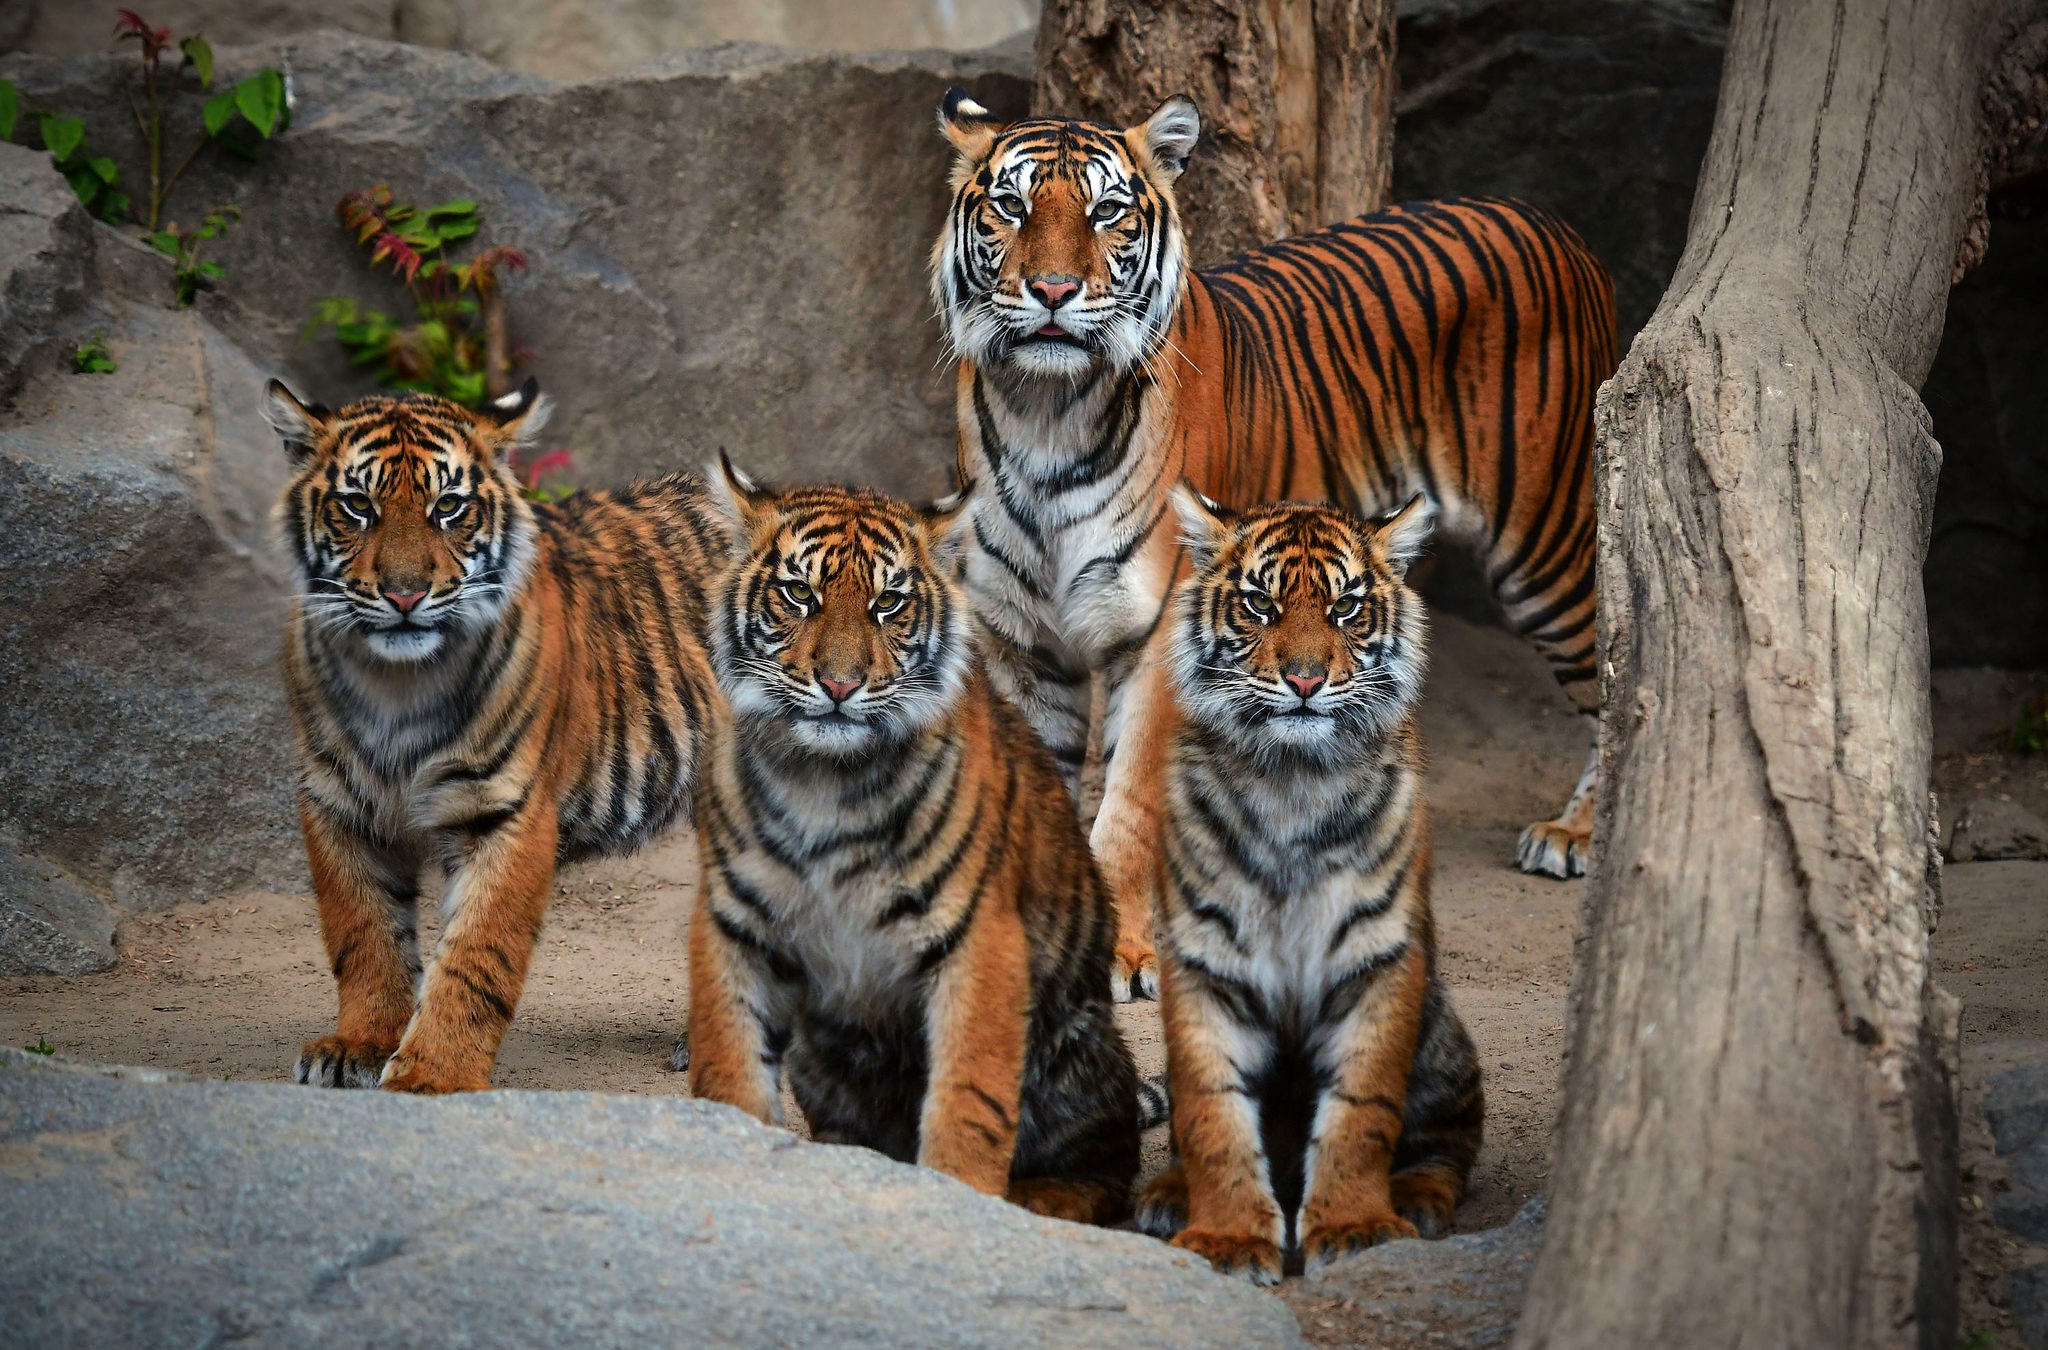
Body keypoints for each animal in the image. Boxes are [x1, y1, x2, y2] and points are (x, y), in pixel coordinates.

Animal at [264, 381, 729, 1098]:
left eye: (449, 507)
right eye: (358, 506)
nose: (405, 594)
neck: (397, 684)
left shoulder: (508, 811)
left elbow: (477, 956)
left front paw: (433, 1078)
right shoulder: (338, 804)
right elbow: (364, 935)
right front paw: (360, 1045)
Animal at [684, 465, 1138, 1229]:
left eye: (888, 603)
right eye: (799, 593)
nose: (839, 685)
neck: (823, 781)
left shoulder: (979, 940)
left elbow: (968, 1102)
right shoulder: (733, 924)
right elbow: (728, 1070)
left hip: (1075, 1051)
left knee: (1105, 1163)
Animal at [929, 87, 1613, 1003]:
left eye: (1107, 211)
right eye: (1011, 206)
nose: (1053, 289)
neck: (1046, 410)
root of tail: (1555, 223)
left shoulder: (1159, 632)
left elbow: (1128, 806)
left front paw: (1122, 953)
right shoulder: (1018, 639)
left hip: (1547, 544)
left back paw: (1577, 834)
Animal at [1138, 491, 1490, 1286]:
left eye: (1346, 608)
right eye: (1259, 605)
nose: (1304, 681)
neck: (1291, 783)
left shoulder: (1378, 957)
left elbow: (1362, 1108)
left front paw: (1356, 1227)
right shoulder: (1204, 961)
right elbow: (1210, 1111)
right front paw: (1228, 1237)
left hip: (1443, 1033)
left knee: (1454, 1136)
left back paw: (1417, 1197)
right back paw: (1168, 1193)